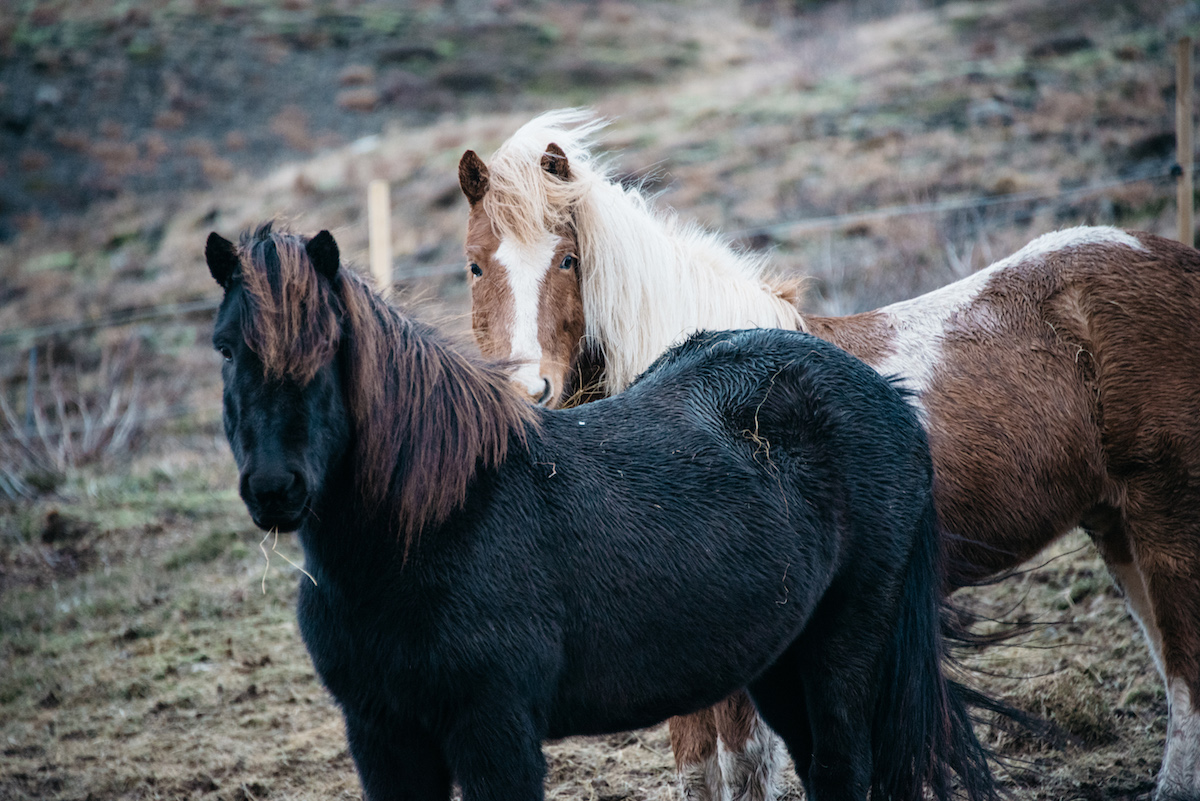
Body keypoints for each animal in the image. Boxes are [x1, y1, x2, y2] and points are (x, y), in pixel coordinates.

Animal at [206, 221, 1003, 801]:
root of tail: (888, 396)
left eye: (330, 346)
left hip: (845, 648)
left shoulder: (495, 731)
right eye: (225, 349)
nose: (275, 488)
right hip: (781, 662)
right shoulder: (382, 736)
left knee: (843, 768)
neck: (432, 530)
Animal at [453, 107, 1200, 801]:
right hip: (1114, 524)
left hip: (1166, 520)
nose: (528, 390)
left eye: (568, 260)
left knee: (1185, 675)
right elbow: (699, 769)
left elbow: (744, 767)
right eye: (475, 264)